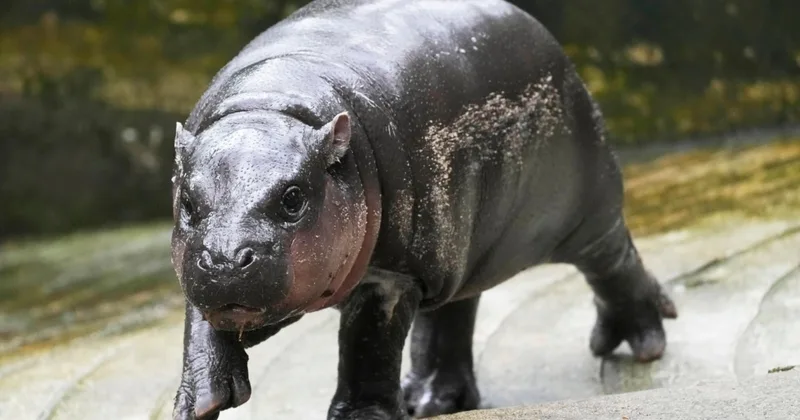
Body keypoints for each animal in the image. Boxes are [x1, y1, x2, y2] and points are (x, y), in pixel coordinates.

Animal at [169, 0, 678, 418]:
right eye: (188, 201)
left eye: (293, 197)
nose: (225, 260)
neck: (270, 107)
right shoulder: (199, 268)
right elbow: (200, 324)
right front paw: (201, 402)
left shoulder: (395, 274)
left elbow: (368, 347)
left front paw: (362, 417)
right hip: (461, 247)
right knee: (452, 314)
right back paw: (431, 401)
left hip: (584, 211)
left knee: (613, 261)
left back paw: (640, 343)